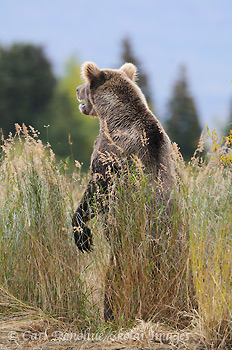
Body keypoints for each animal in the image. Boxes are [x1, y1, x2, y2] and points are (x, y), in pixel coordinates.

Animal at [72, 62, 176, 320]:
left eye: (85, 84)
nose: (77, 89)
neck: (112, 115)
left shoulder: (110, 153)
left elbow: (96, 192)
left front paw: (82, 235)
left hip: (128, 240)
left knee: (115, 278)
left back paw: (109, 314)